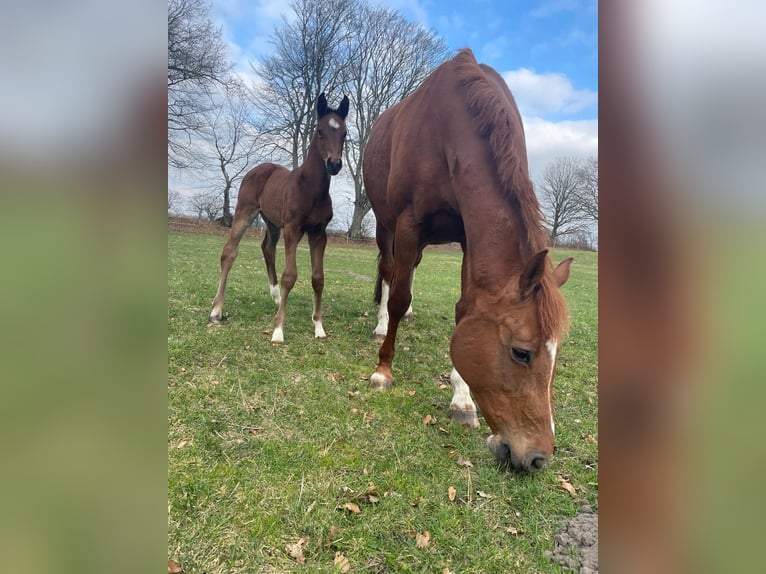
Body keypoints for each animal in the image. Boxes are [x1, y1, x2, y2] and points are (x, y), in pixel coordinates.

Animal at [208, 93, 350, 342]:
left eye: (344, 133)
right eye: (320, 131)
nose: (334, 164)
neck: (312, 189)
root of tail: (259, 168)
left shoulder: (319, 233)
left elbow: (318, 278)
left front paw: (319, 327)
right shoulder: (293, 229)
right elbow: (290, 275)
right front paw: (278, 330)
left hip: (272, 222)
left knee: (267, 248)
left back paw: (275, 295)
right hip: (245, 212)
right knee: (229, 252)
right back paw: (217, 310)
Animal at [368, 49, 576, 472]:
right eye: (521, 353)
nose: (539, 458)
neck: (450, 129)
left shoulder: (467, 236)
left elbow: (464, 310)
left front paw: (462, 400)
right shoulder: (408, 224)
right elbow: (397, 295)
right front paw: (383, 370)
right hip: (385, 224)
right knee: (389, 272)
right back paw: (381, 327)